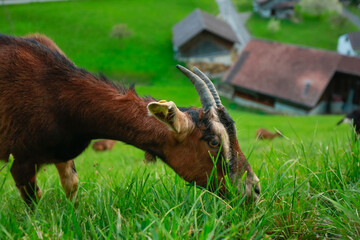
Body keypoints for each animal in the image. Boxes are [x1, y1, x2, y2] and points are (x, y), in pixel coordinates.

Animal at [0, 34, 260, 204]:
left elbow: (71, 185)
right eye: (214, 141)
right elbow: (33, 200)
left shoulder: (62, 154)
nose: (254, 190)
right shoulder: (23, 161)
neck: (57, 93)